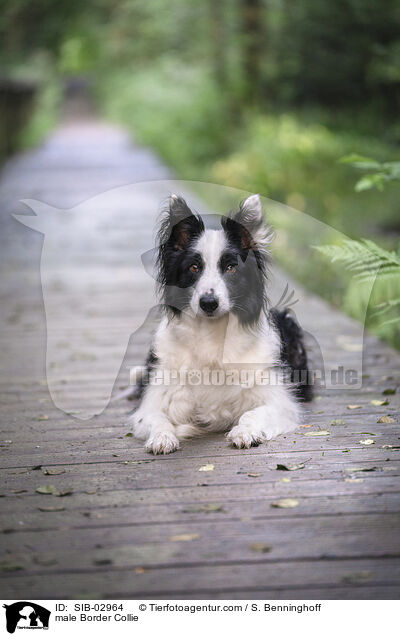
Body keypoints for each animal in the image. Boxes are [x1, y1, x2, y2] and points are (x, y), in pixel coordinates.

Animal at [131, 193, 312, 452]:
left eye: (230, 268)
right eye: (194, 267)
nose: (209, 303)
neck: (212, 334)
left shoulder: (282, 404)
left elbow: (252, 413)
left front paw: (245, 432)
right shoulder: (152, 403)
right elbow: (157, 417)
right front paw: (162, 437)